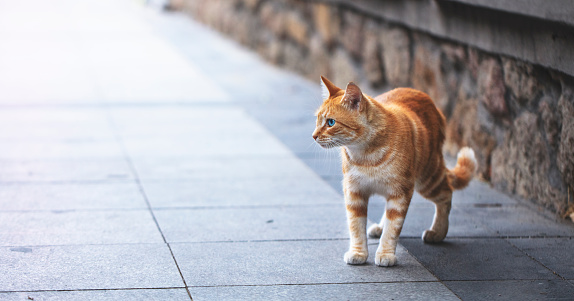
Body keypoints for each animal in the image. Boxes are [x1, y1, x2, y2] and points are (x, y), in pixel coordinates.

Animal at [312, 76, 480, 266]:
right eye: (317, 120)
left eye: (330, 122)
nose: (314, 135)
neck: (366, 156)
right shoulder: (354, 192)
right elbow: (356, 226)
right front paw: (358, 252)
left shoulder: (401, 192)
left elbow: (393, 228)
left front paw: (385, 254)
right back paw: (380, 227)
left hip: (428, 179)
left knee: (446, 195)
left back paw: (438, 232)